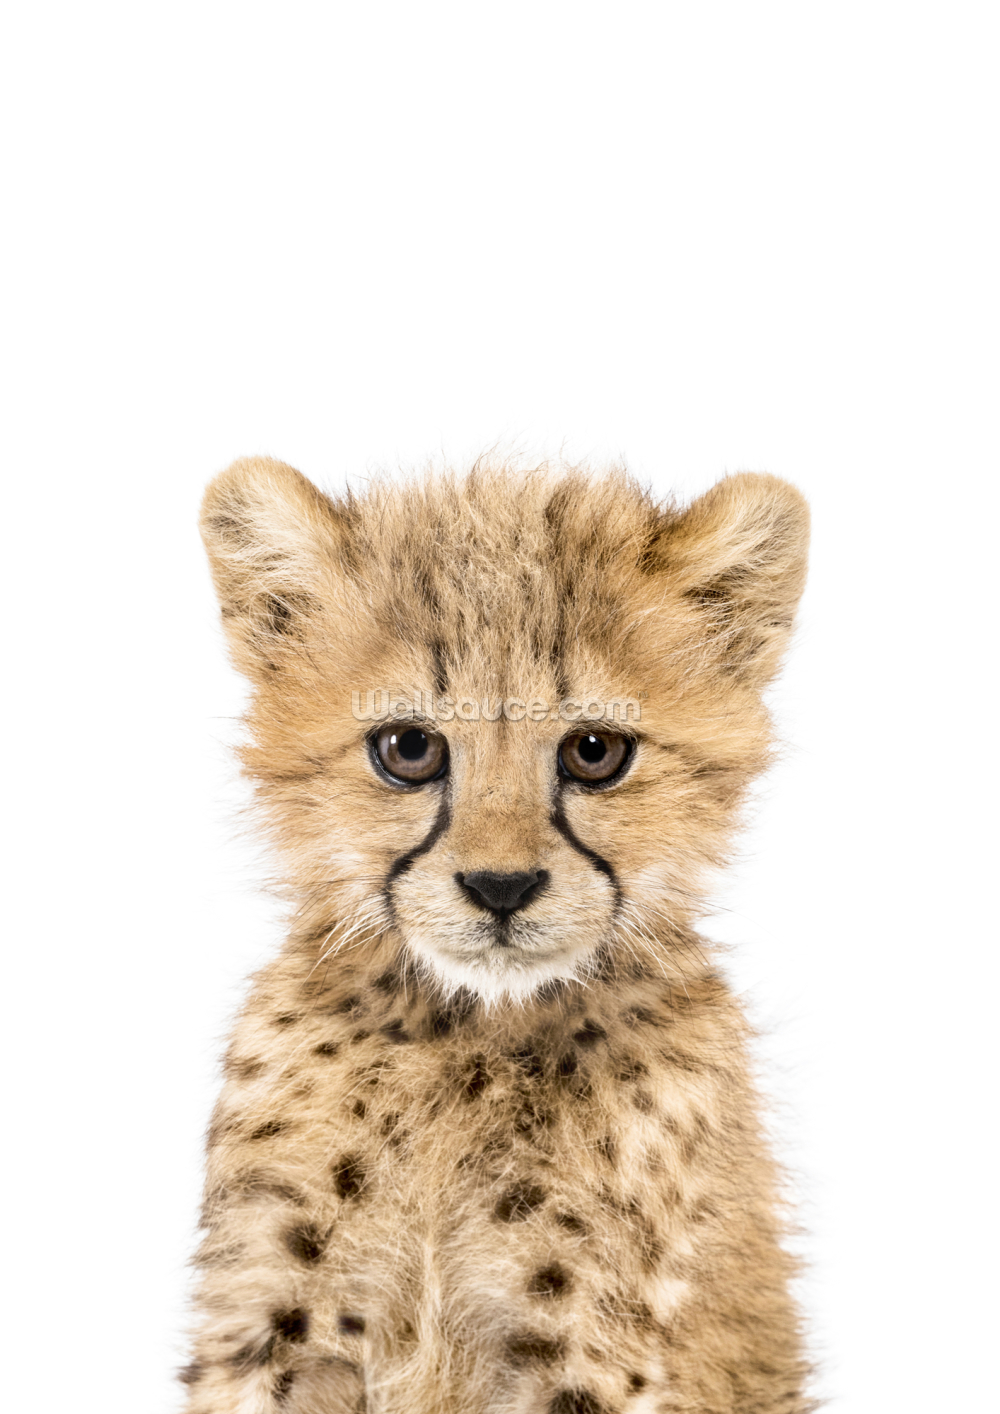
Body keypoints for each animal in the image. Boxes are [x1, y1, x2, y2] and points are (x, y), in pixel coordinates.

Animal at [181, 454, 813, 1414]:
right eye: (407, 748)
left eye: (595, 751)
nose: (501, 888)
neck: (466, 1035)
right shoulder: (273, 1323)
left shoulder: (588, 1345)